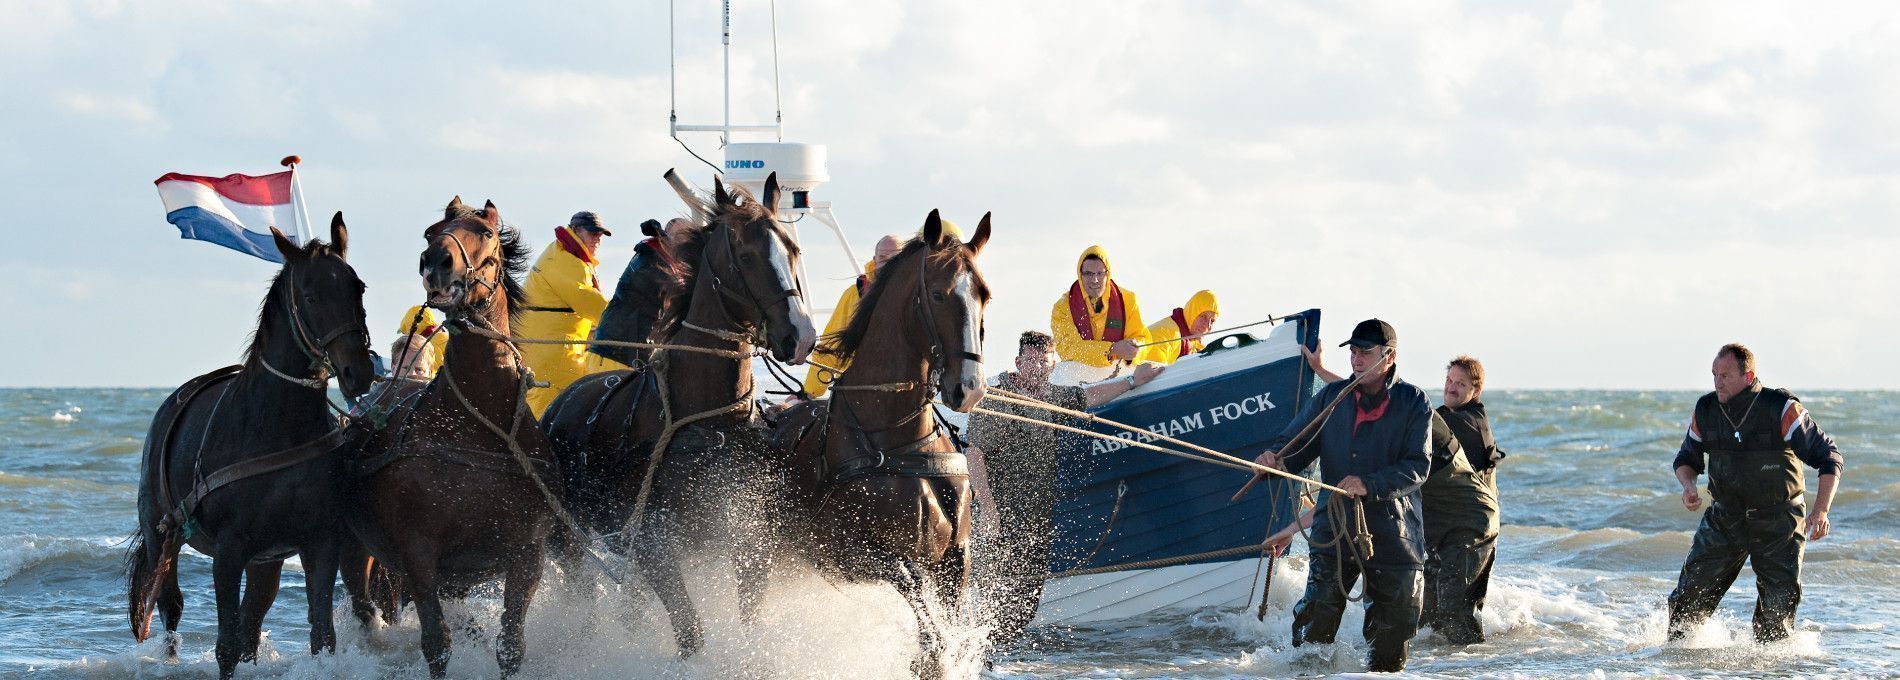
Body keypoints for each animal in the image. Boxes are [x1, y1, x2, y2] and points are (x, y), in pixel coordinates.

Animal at [126, 215, 374, 676]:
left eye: (358, 287)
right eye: (310, 295)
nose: (358, 372)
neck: (277, 425)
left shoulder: (319, 543)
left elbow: (321, 637)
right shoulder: (228, 551)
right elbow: (225, 645)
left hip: (267, 558)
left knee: (252, 621)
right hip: (160, 534)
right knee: (170, 605)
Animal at [343, 196, 554, 676]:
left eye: (487, 232)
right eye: (429, 231)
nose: (436, 262)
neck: (477, 427)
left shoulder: (527, 554)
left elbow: (510, 646)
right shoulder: (419, 554)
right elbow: (437, 644)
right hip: (357, 551)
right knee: (364, 605)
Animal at [543, 172, 824, 657]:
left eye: (792, 249)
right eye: (746, 254)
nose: (801, 336)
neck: (707, 423)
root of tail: (558, 404)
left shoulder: (748, 542)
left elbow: (749, 620)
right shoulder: (653, 547)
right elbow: (691, 633)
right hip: (568, 539)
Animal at [763, 209, 995, 676]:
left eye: (984, 294)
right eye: (939, 295)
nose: (970, 388)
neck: (901, 443)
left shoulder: (956, 556)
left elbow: (953, 624)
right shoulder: (852, 554)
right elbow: (918, 600)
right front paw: (928, 656)